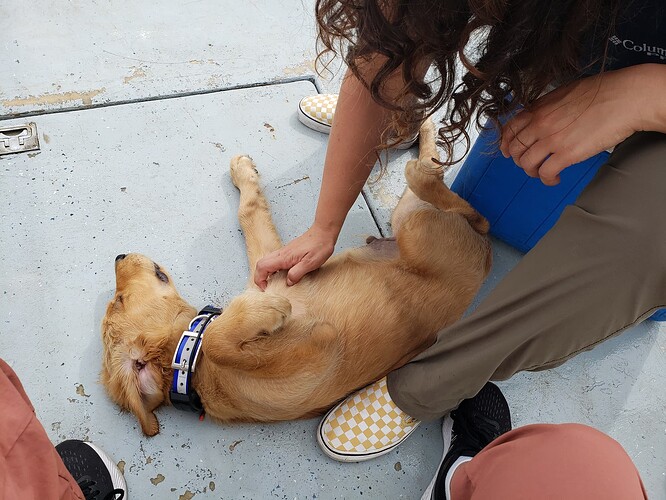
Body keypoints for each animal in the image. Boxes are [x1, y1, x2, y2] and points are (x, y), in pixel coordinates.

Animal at [101, 120, 490, 434]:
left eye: (117, 300)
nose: (118, 255)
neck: (190, 363)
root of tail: (485, 263)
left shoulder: (270, 268)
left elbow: (249, 212)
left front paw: (243, 173)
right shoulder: (318, 350)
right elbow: (218, 341)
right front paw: (270, 312)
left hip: (412, 222)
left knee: (460, 202)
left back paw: (425, 134)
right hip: (417, 225)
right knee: (458, 203)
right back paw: (425, 147)